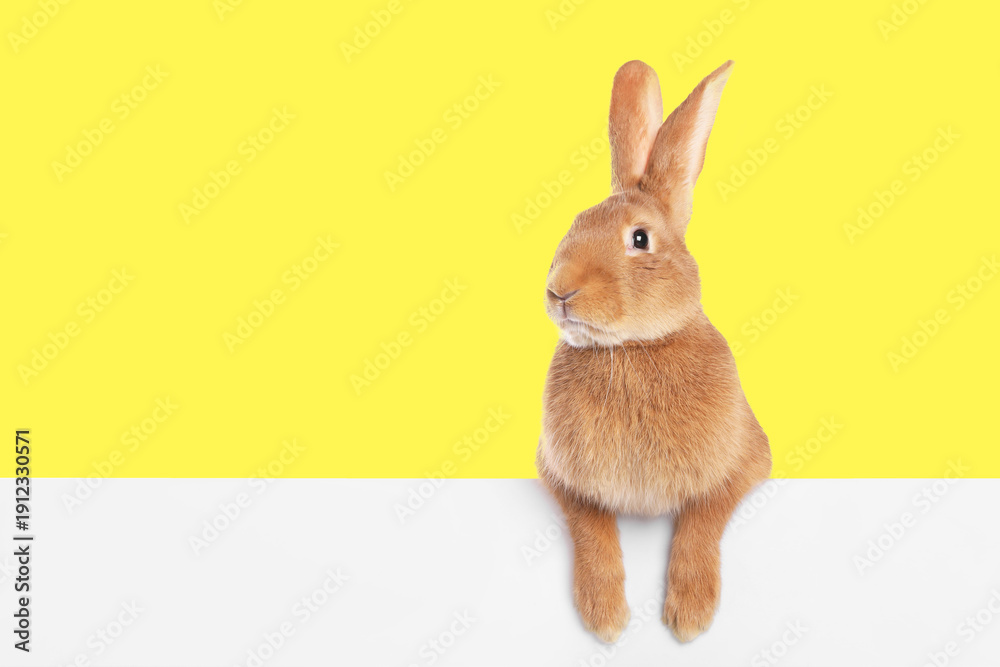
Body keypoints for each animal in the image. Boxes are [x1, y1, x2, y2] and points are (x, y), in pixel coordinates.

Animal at [536, 59, 772, 644]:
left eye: (639, 239)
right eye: (574, 224)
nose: (559, 290)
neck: (633, 349)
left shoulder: (743, 460)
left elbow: (702, 519)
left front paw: (690, 613)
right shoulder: (564, 476)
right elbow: (592, 528)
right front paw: (604, 616)